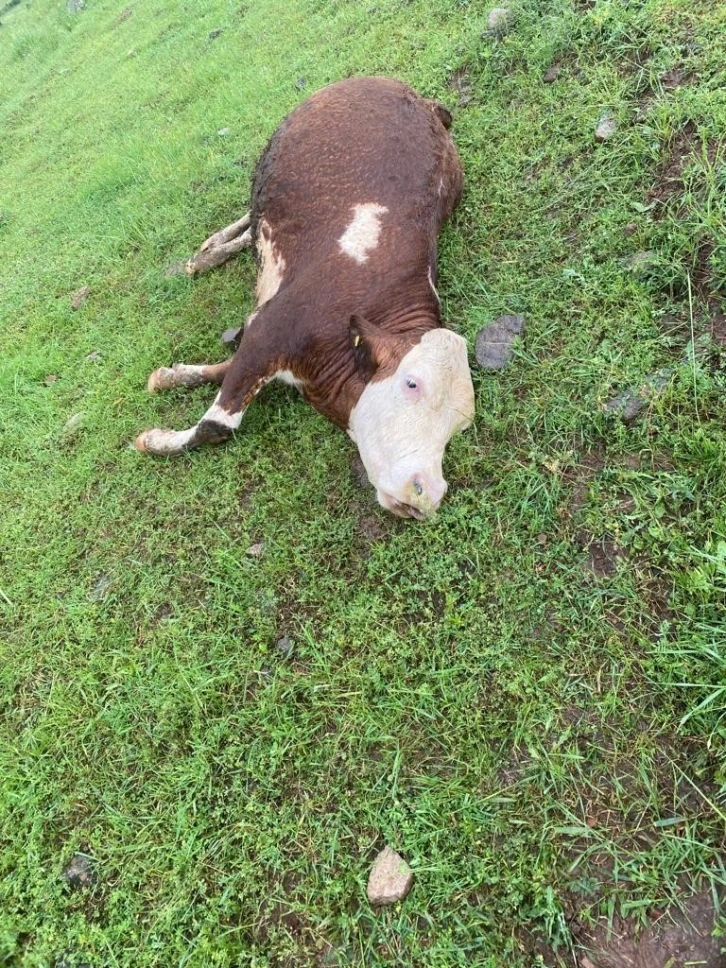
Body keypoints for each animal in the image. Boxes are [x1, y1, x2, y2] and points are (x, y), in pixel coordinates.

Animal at [136, 76, 478, 520]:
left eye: (460, 425)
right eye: (412, 383)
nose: (427, 492)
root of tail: (420, 99)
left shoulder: (265, 333)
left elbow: (223, 370)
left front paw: (170, 377)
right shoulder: (273, 327)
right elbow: (217, 425)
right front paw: (156, 439)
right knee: (248, 220)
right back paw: (207, 253)